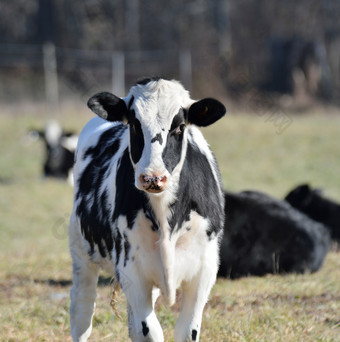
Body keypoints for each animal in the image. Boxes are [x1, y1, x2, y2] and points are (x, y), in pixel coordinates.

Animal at [68, 78, 226, 342]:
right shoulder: (131, 270)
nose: (153, 177)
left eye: (179, 127)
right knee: (81, 312)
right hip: (81, 252)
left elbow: (186, 331)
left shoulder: (204, 270)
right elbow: (149, 331)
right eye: (134, 124)